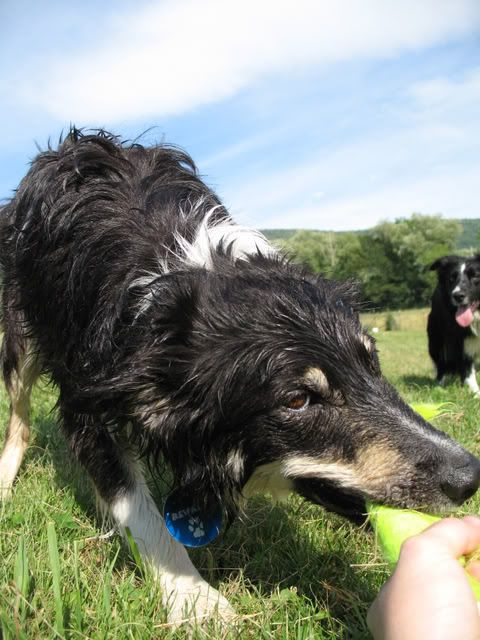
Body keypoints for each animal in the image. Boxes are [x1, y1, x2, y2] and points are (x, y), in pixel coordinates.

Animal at [430, 255, 480, 396]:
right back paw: (439, 386)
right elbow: (468, 371)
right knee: (441, 363)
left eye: (476, 276)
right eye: (451, 279)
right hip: (436, 339)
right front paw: (476, 394)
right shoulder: (460, 342)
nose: (457, 296)